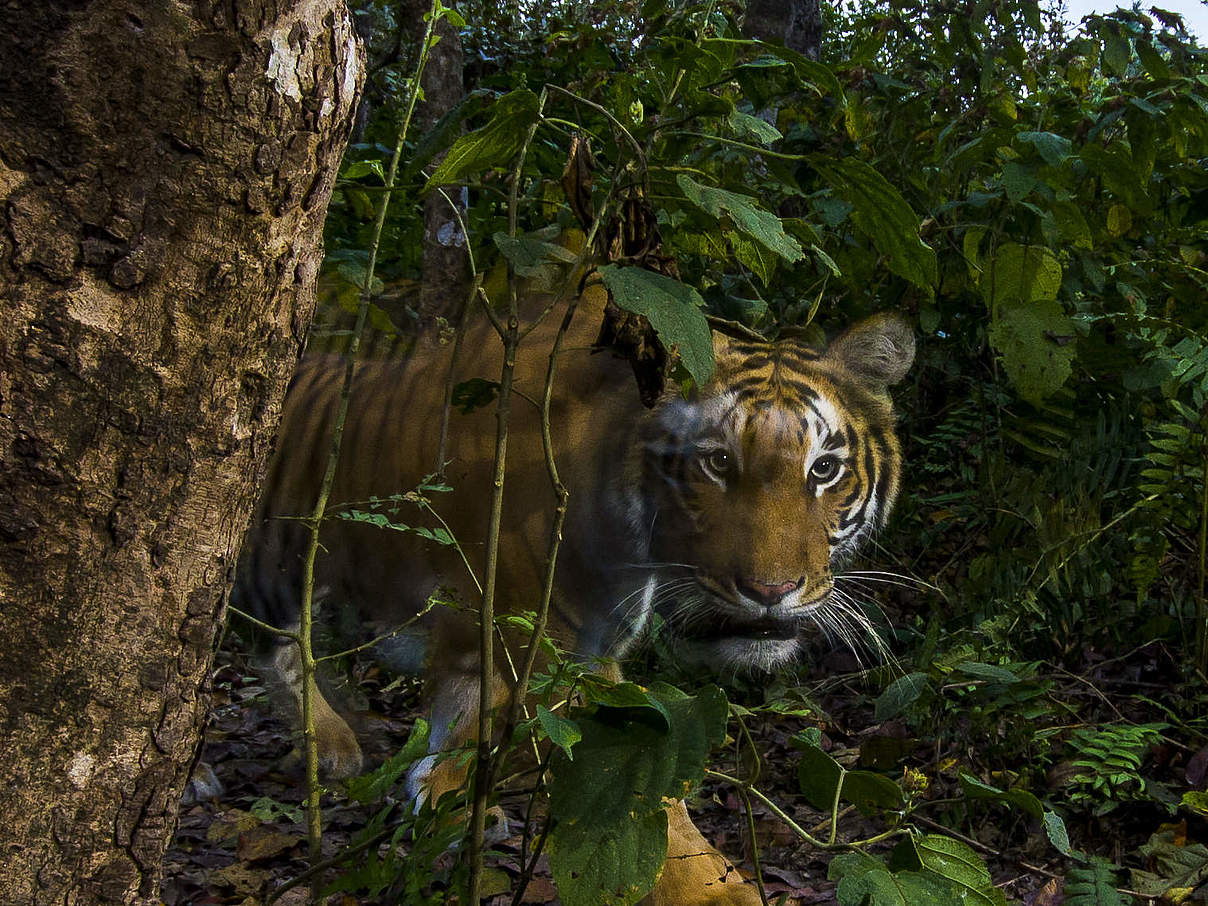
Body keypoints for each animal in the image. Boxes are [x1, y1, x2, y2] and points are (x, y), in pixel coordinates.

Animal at [233, 280, 913, 903]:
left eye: (823, 468)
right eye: (717, 462)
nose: (772, 590)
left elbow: (462, 719)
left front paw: (443, 790)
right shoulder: (548, 647)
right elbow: (639, 787)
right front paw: (714, 892)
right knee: (267, 643)